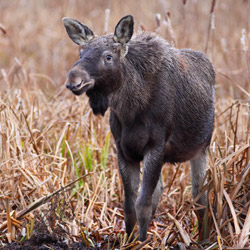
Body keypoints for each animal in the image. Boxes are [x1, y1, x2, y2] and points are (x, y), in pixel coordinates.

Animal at [62, 15, 215, 240]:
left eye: (108, 57)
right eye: (81, 53)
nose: (74, 79)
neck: (131, 109)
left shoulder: (156, 146)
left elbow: (142, 204)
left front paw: (142, 241)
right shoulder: (124, 149)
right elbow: (129, 205)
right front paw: (129, 239)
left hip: (202, 148)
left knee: (199, 196)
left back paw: (204, 239)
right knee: (160, 189)